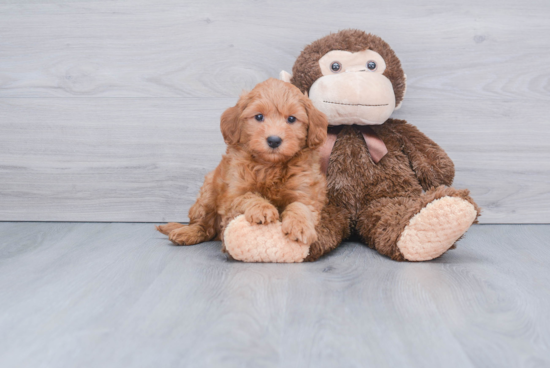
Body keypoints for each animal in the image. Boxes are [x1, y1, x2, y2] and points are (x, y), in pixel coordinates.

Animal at [156, 78, 328, 249]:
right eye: (259, 117)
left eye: (291, 119)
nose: (274, 140)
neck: (270, 167)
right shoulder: (233, 193)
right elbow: (248, 196)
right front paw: (263, 208)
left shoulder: (304, 191)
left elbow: (300, 206)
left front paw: (300, 226)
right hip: (207, 193)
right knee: (204, 225)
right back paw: (186, 232)